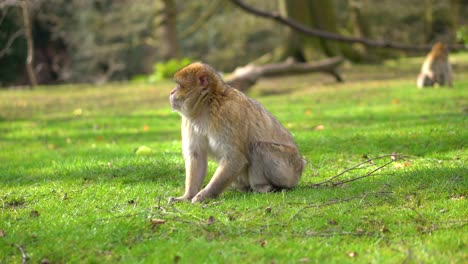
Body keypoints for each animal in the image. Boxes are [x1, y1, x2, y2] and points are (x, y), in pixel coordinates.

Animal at [170, 63, 306, 203]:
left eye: (179, 85)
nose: (171, 92)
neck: (208, 104)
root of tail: (301, 165)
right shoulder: (189, 121)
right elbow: (196, 156)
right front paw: (187, 196)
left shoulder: (228, 112)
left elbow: (235, 157)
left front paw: (204, 195)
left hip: (289, 171)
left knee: (258, 147)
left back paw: (262, 187)